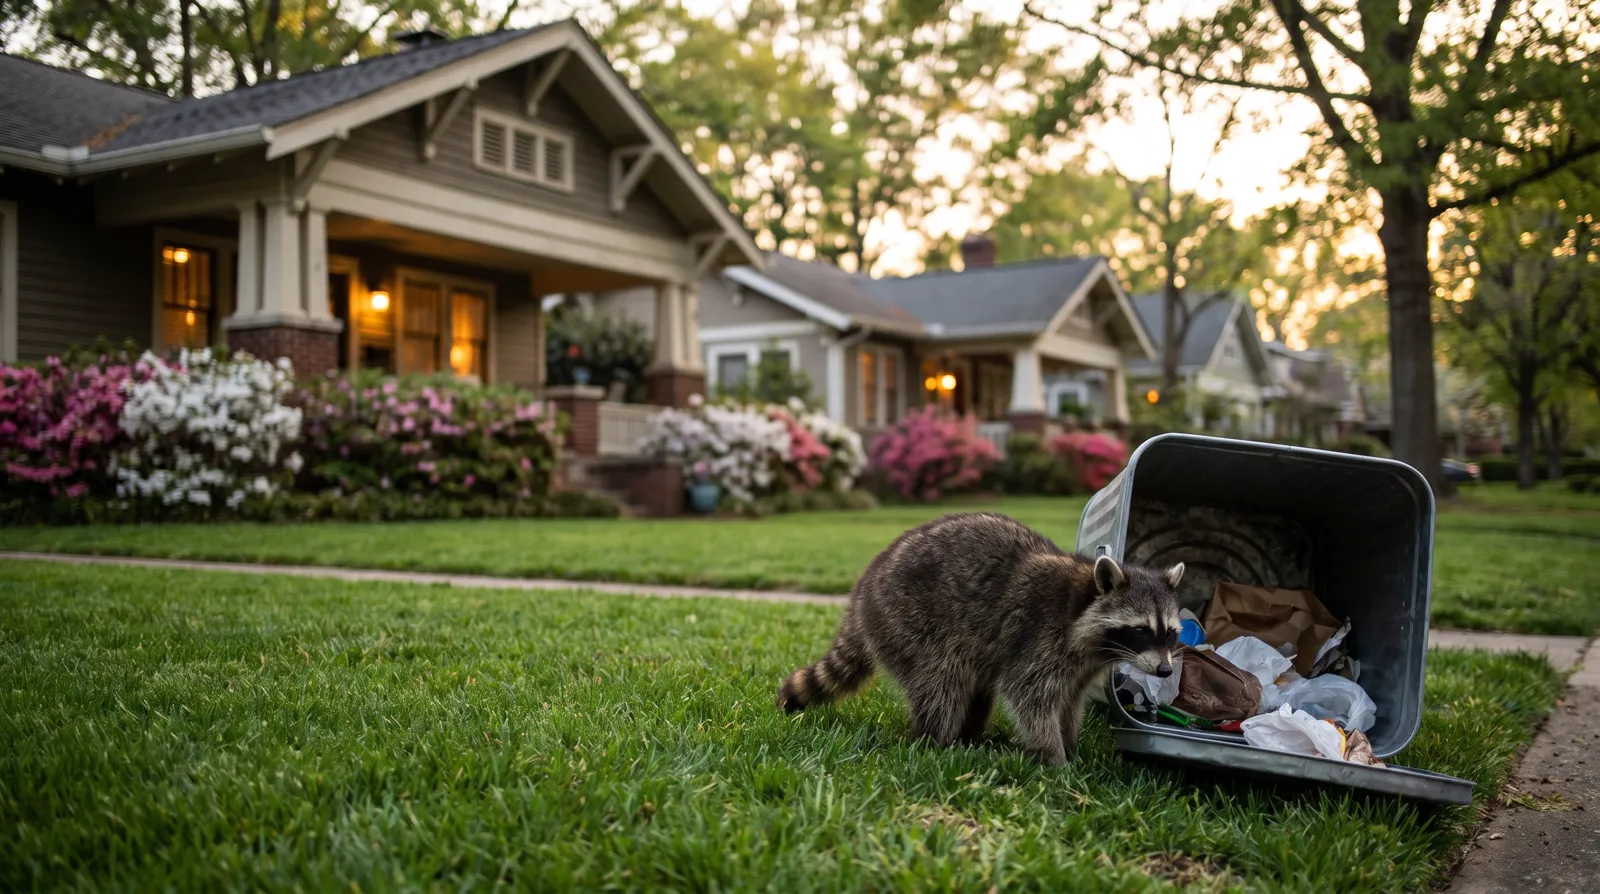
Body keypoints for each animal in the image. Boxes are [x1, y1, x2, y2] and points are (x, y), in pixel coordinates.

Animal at [778, 512, 1183, 764]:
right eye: (1140, 630)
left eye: (1170, 633)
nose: (1165, 671)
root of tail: (863, 589)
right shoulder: (1041, 638)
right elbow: (1030, 697)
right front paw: (1055, 756)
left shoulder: (1081, 663)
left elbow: (1070, 700)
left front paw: (1070, 742)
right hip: (910, 622)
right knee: (941, 684)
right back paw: (938, 741)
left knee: (974, 686)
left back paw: (971, 736)